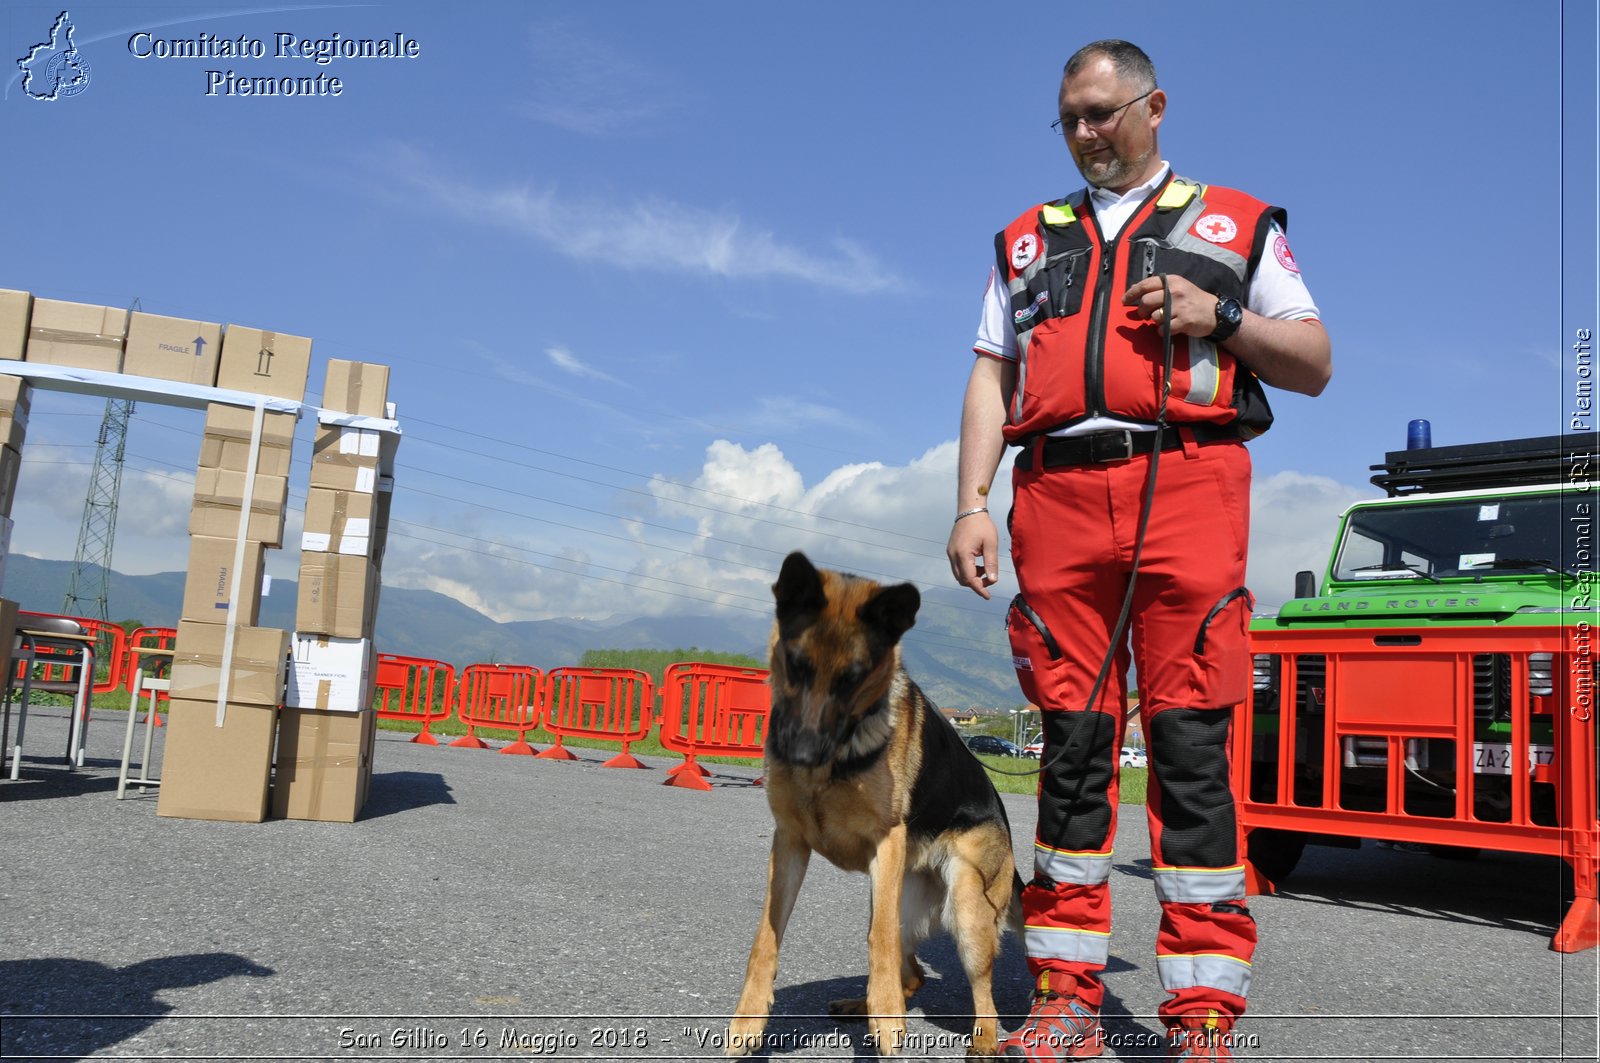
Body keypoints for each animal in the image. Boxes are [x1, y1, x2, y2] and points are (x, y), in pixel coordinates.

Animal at [729, 550, 1024, 1056]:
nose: (801, 755)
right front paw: (748, 1020)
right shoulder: (788, 844)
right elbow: (764, 939)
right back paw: (861, 1005)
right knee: (916, 974)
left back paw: (981, 1039)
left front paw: (886, 1020)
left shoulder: (886, 845)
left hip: (965, 901)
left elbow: (878, 942)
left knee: (982, 992)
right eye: (797, 665)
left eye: (853, 679)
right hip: (900, 897)